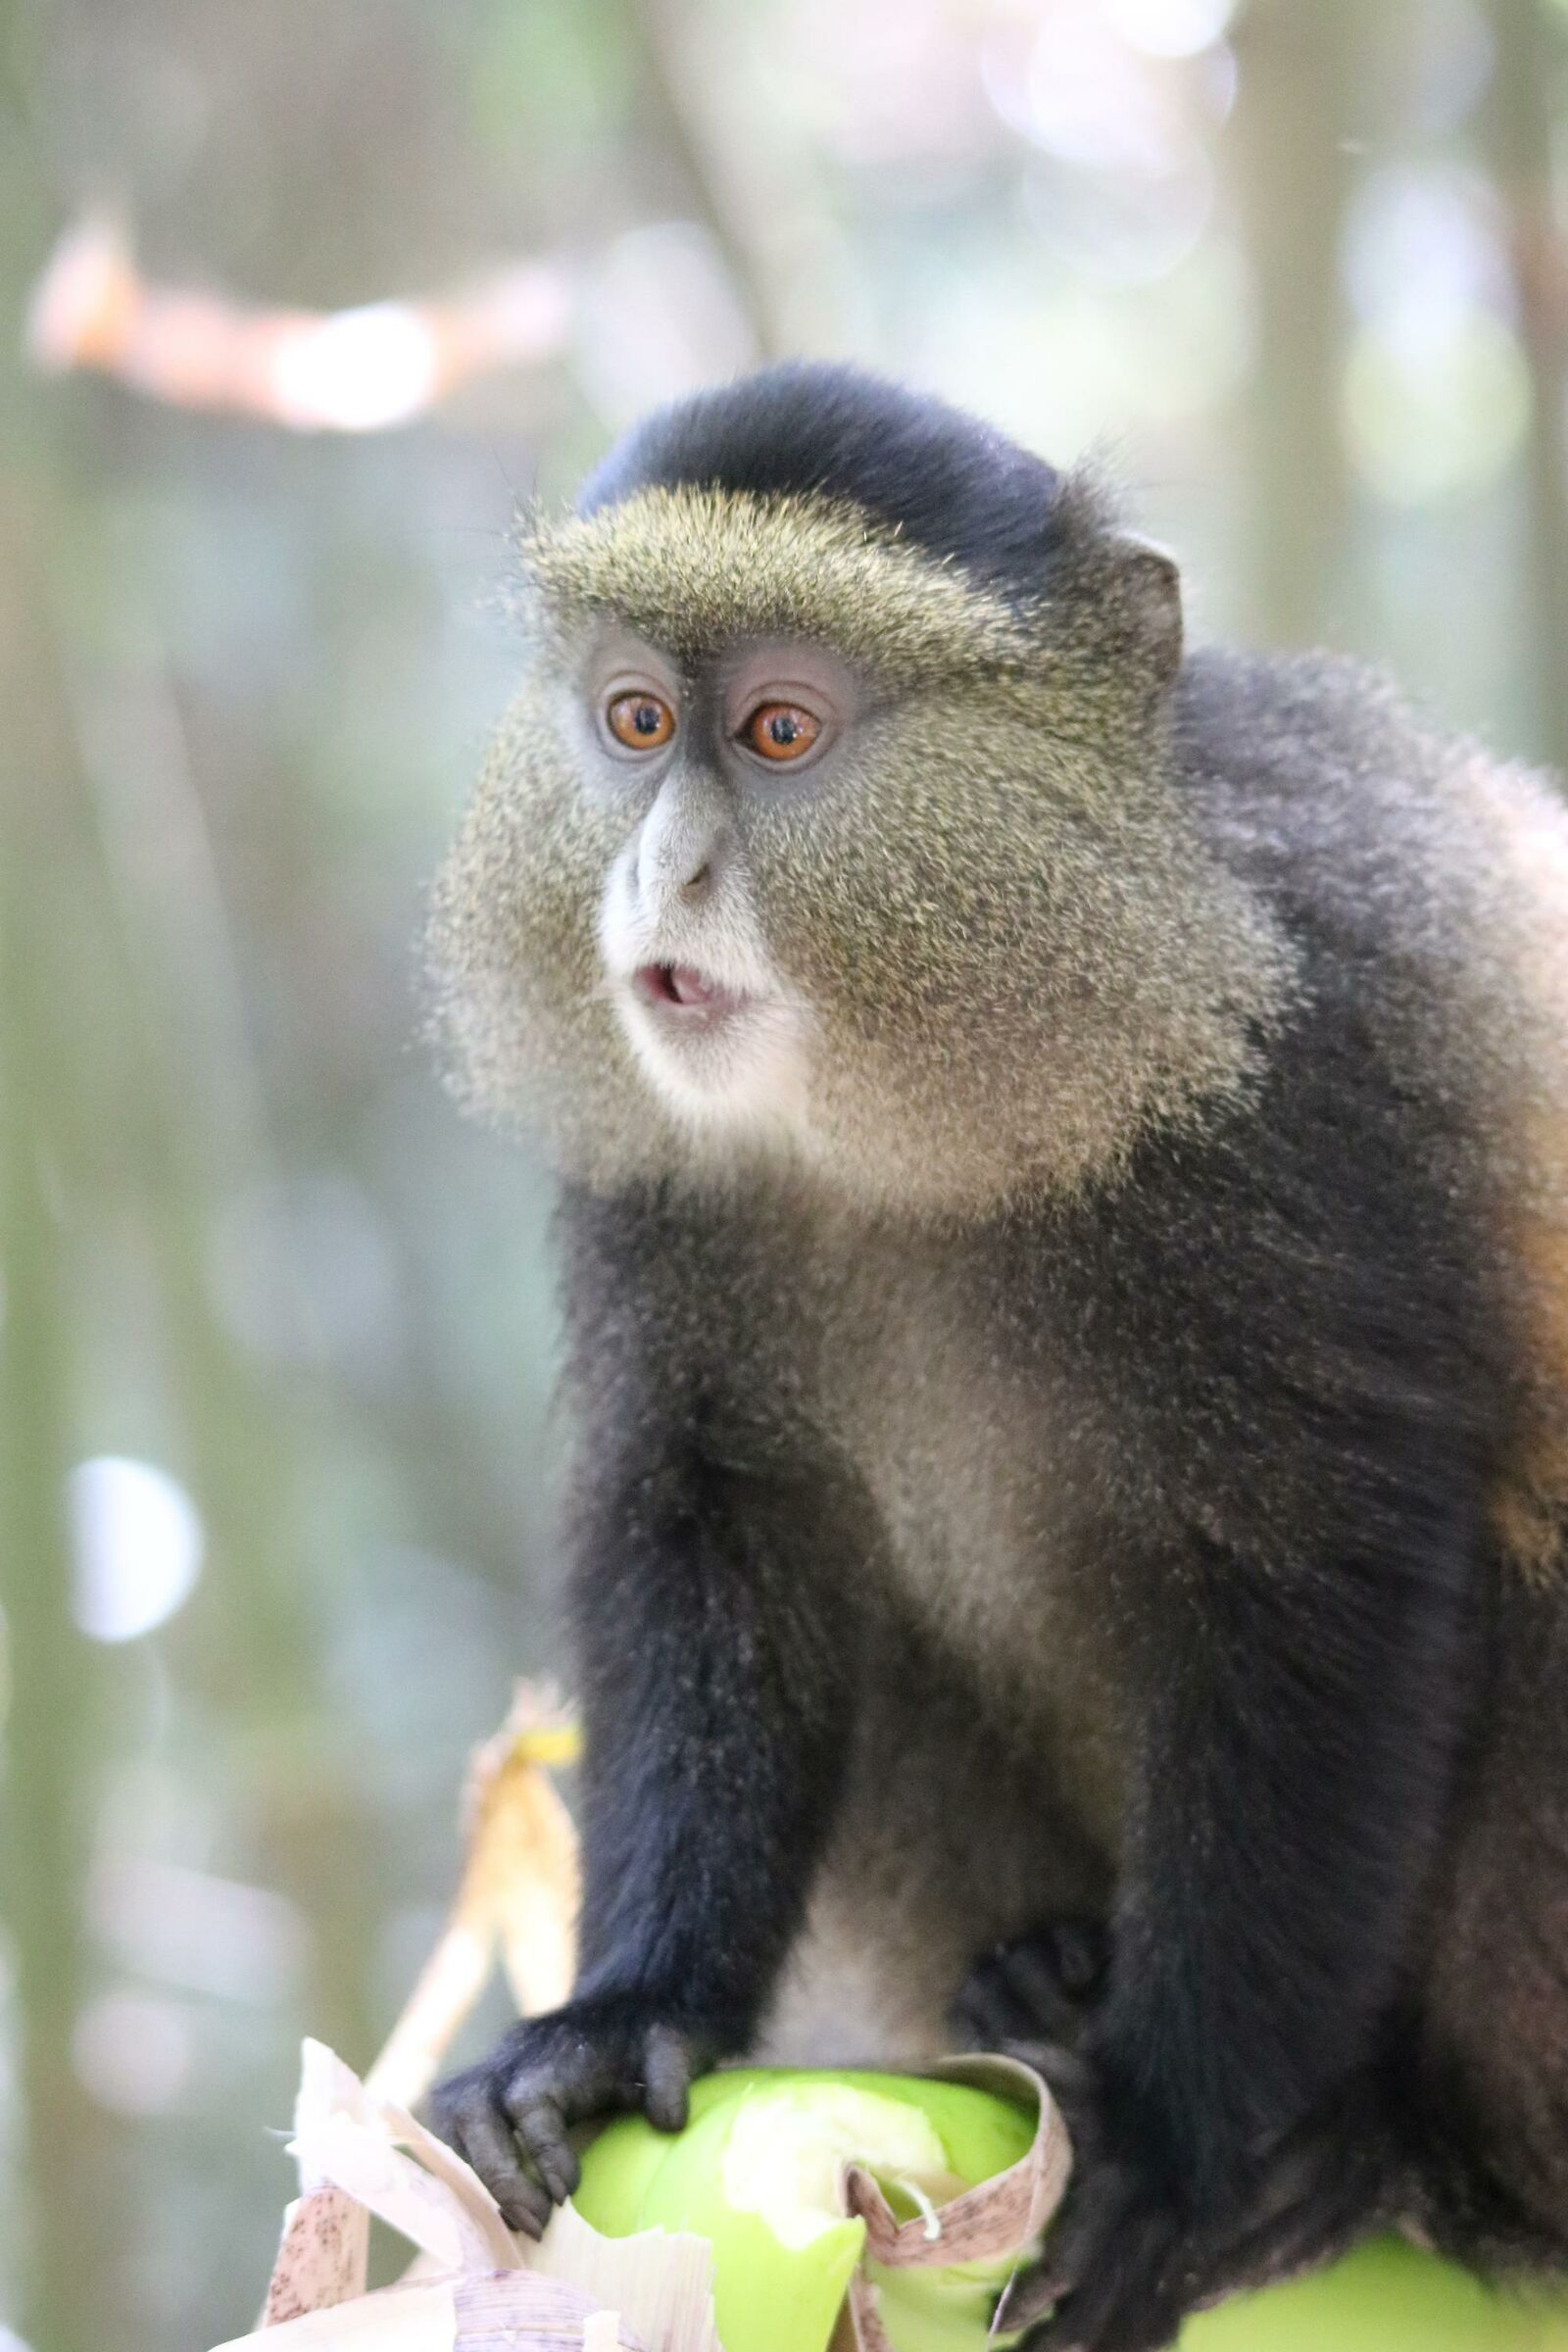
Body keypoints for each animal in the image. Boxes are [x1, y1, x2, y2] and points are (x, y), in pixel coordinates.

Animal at [425, 361, 1568, 2350]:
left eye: (783, 731)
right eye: (635, 721)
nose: (661, 868)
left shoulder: (1328, 1068)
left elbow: (1328, 1579)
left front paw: (1182, 2143)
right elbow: (722, 1520)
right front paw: (624, 2017)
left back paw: (1410, 2148)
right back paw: (1047, 1973)